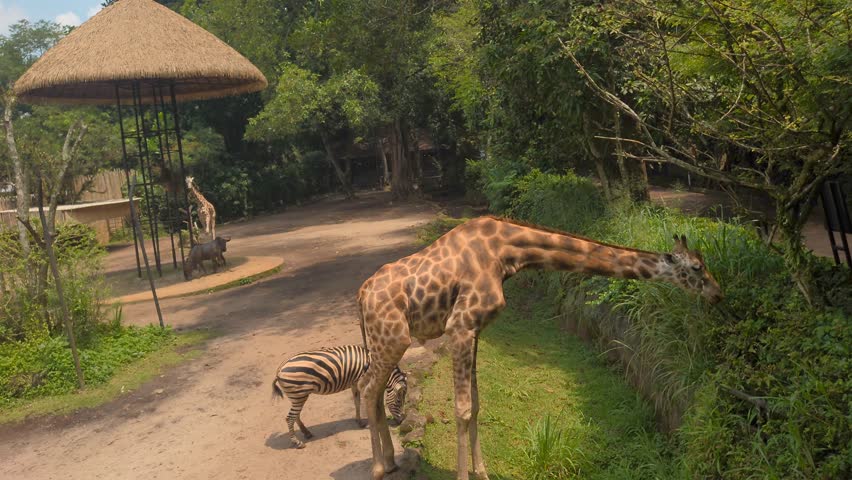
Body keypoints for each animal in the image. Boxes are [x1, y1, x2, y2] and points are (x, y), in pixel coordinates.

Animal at [271, 344, 407, 449]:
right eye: (399, 401)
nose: (401, 421)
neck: (373, 367)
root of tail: (279, 369)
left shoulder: (354, 383)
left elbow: (356, 402)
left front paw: (359, 422)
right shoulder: (362, 383)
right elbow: (365, 401)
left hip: (299, 396)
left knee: (296, 415)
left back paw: (307, 433)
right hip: (298, 395)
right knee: (289, 418)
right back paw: (298, 443)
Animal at [356, 215, 723, 480]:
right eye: (696, 268)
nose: (718, 294)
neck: (507, 252)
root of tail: (361, 295)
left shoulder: (475, 329)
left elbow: (476, 403)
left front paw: (483, 472)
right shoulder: (459, 326)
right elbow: (461, 408)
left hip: (386, 341)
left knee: (374, 388)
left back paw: (390, 462)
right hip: (393, 338)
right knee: (368, 386)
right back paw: (377, 468)